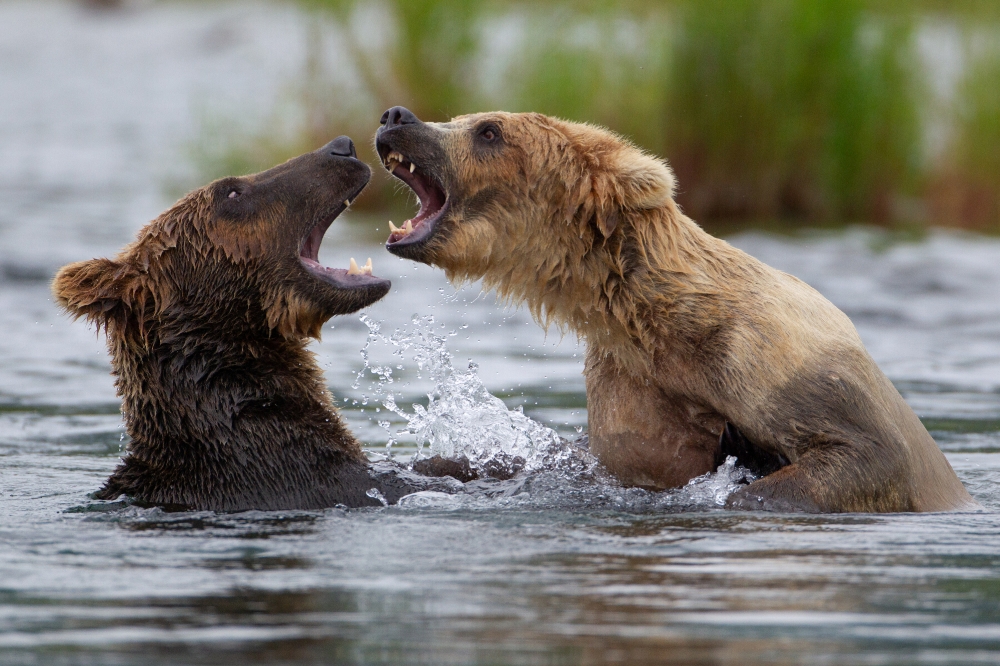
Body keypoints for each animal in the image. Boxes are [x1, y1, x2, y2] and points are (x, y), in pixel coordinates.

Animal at [374, 107, 976, 512]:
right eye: (461, 117)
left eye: (489, 130)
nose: (396, 117)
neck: (653, 318)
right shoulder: (634, 382)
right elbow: (613, 463)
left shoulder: (764, 355)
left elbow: (864, 449)